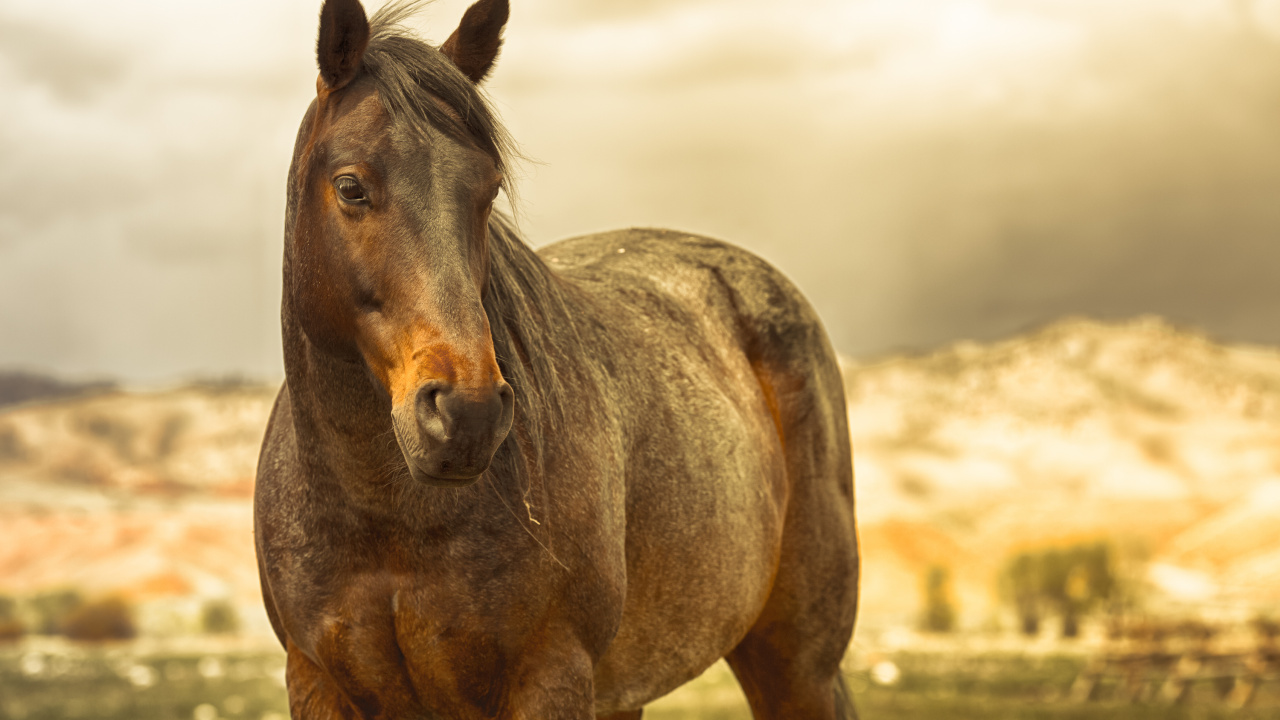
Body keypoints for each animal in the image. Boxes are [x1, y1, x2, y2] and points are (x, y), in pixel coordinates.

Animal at [253, 1, 860, 717]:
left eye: (487, 189)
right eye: (350, 186)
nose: (467, 414)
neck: (386, 523)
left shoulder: (550, 676)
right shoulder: (314, 679)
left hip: (796, 666)